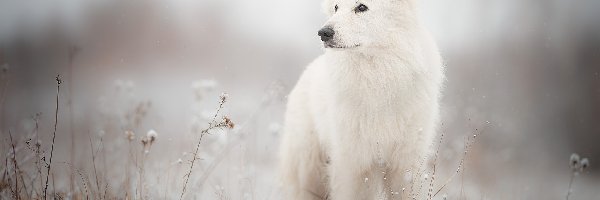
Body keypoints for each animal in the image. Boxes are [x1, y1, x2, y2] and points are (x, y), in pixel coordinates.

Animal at [278, 0, 442, 199]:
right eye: (336, 7)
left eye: (361, 7)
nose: (323, 33)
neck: (378, 79)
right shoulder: (352, 163)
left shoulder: (405, 162)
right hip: (309, 167)